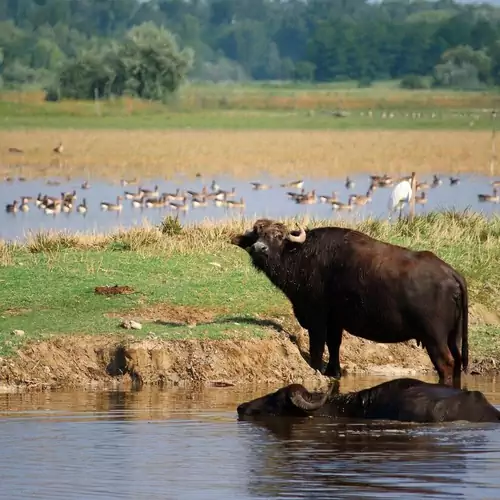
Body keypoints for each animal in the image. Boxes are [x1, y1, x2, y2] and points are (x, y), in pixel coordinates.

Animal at [230, 217, 468, 384]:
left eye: (278, 236)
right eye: (257, 235)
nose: (259, 248)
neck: (301, 255)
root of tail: (450, 273)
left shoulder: (317, 317)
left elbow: (317, 346)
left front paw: (316, 369)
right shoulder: (336, 321)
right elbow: (334, 344)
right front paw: (333, 371)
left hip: (434, 337)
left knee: (446, 364)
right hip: (453, 337)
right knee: (457, 363)